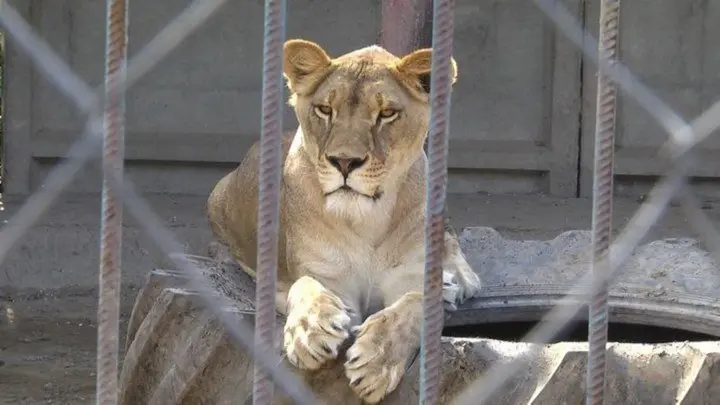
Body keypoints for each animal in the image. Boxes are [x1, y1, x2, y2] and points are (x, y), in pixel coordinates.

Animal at [206, 39, 482, 404]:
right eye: (325, 109)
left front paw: (376, 361)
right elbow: (306, 287)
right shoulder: (326, 277)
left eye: (387, 113)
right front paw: (310, 332)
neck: (367, 219)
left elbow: (413, 306)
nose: (345, 162)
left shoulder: (412, 277)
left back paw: (459, 279)